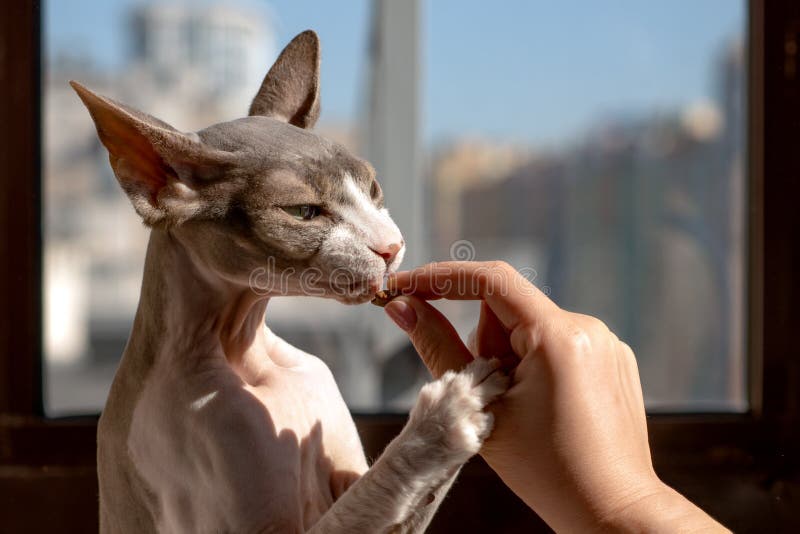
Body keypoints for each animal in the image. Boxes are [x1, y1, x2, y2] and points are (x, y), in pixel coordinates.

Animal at [75, 30, 510, 534]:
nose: (392, 247)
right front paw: (450, 413)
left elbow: (404, 502)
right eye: (303, 212)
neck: (243, 348)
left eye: (373, 190)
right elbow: (380, 490)